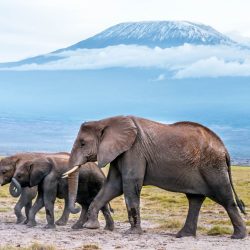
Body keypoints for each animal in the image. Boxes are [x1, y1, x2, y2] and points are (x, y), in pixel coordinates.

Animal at [64, 115, 246, 238]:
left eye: (82, 143)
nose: (77, 207)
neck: (106, 121)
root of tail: (225, 150)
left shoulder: (134, 150)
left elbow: (129, 184)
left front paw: (132, 233)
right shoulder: (119, 152)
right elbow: (113, 186)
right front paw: (90, 226)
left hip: (213, 167)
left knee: (225, 199)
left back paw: (238, 236)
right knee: (195, 199)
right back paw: (182, 235)